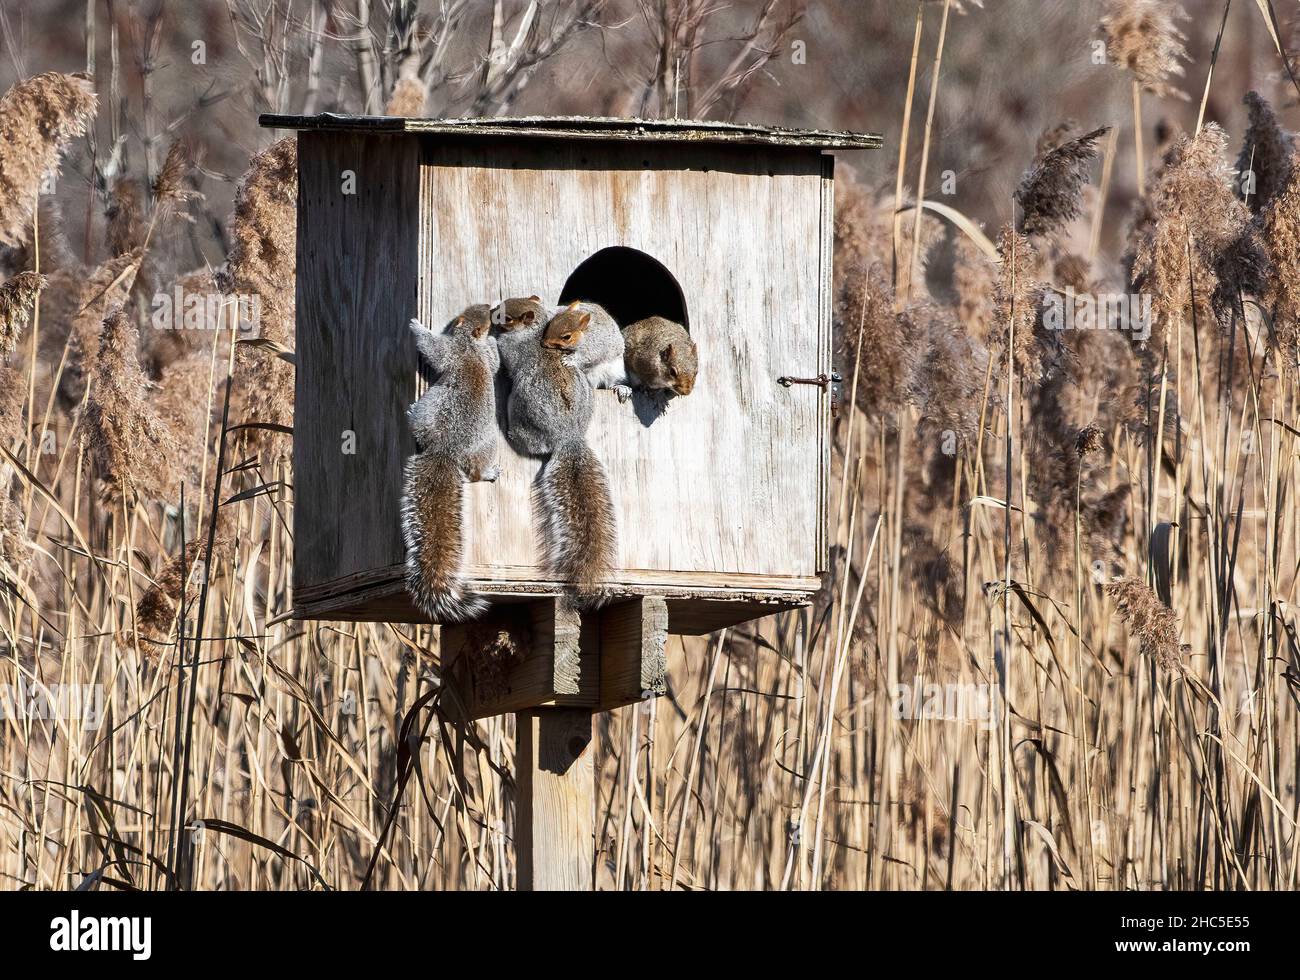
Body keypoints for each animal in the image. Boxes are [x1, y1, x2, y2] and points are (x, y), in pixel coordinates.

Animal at [400, 304, 496, 618]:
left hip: (434, 415)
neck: (471, 343)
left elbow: (435, 349)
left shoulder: (452, 350)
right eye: (483, 311)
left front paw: (416, 327)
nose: (491, 306)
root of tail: (446, 452)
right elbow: (494, 362)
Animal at [491, 289, 613, 600]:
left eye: (506, 316)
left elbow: (504, 352)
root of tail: (568, 436)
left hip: (521, 413)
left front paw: (490, 338)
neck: (535, 328)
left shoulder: (514, 348)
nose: (491, 313)